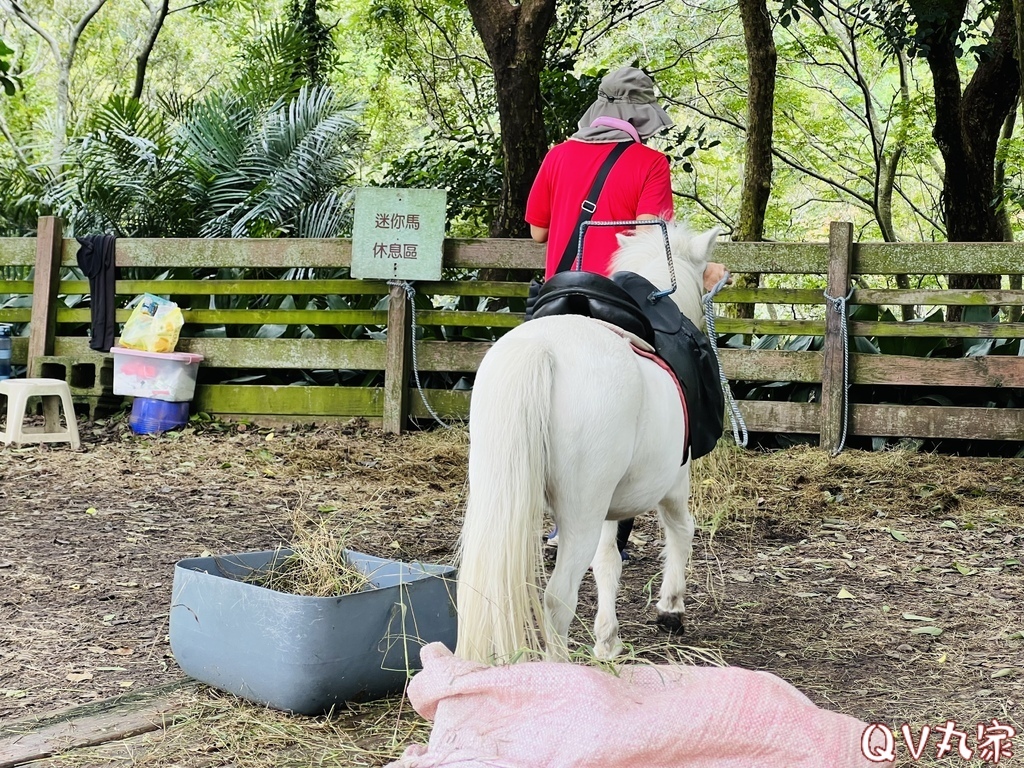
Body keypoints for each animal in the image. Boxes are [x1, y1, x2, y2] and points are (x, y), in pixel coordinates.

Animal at [456, 221, 720, 663]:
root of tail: (541, 348)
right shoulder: (673, 482)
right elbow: (682, 530)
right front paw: (670, 608)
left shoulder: (609, 504)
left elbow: (608, 560)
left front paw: (607, 640)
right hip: (581, 510)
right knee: (557, 598)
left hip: (501, 495)